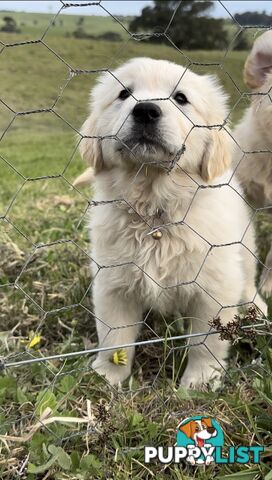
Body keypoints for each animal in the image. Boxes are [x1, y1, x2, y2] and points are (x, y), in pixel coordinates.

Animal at [76, 57, 266, 386]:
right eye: (124, 94)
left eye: (181, 98)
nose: (146, 110)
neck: (156, 212)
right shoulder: (112, 284)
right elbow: (115, 338)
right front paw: (107, 377)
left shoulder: (215, 289)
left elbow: (206, 342)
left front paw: (200, 381)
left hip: (244, 250)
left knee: (246, 282)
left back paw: (258, 307)